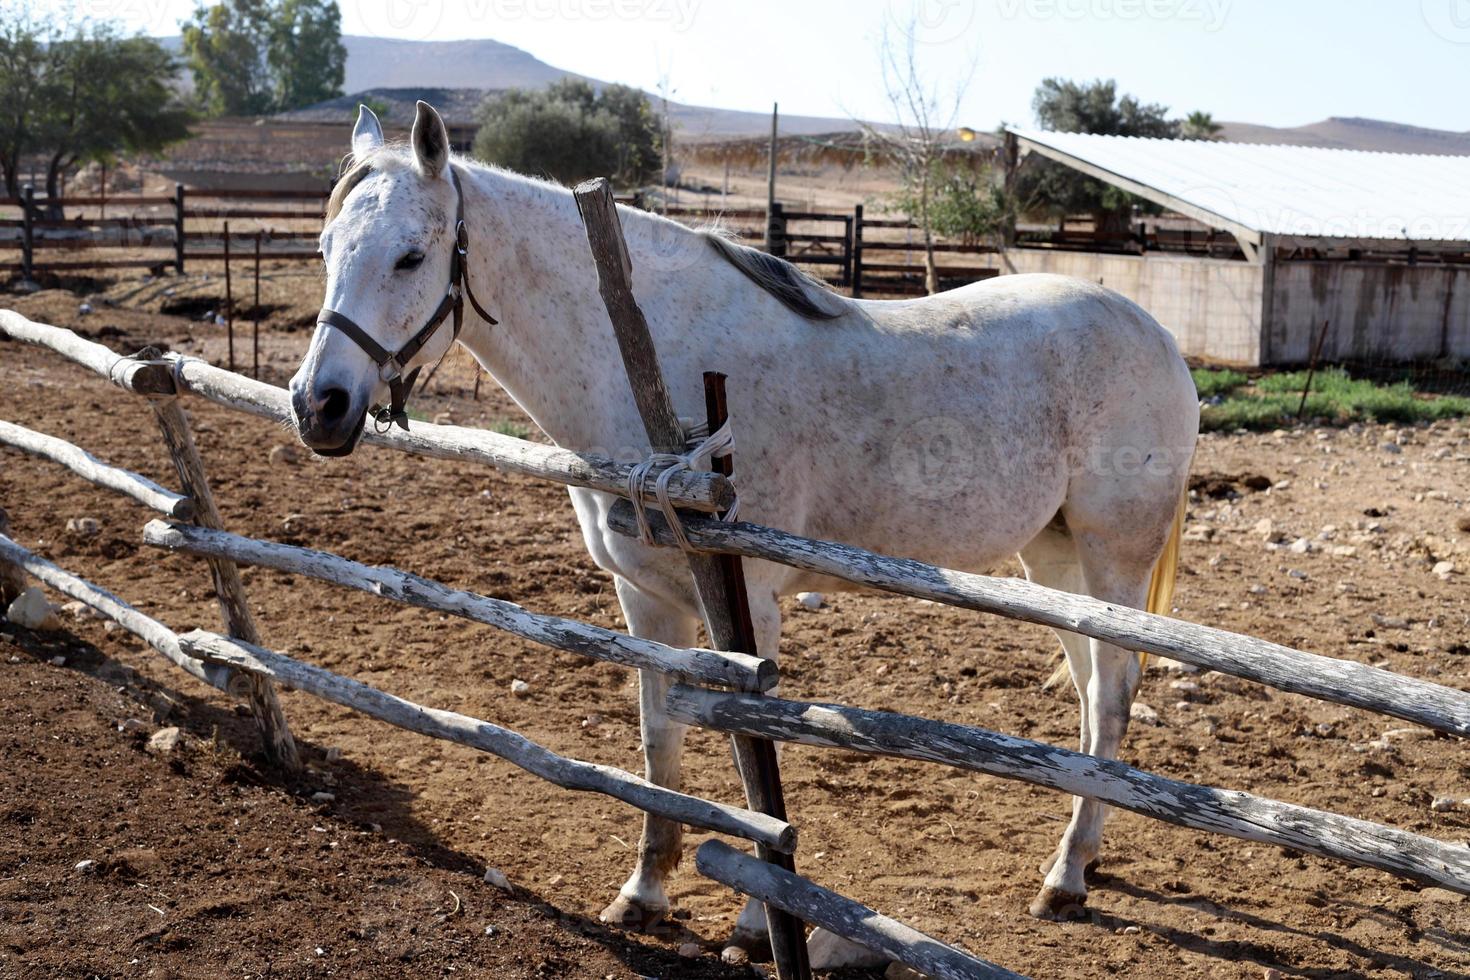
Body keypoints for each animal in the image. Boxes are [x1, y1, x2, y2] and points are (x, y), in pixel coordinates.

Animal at [292, 105, 1199, 957]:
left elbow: (748, 752)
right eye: (327, 248)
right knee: (1091, 695)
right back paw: (1080, 856)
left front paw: (761, 919)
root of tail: (1159, 336)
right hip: (1055, 563)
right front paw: (645, 892)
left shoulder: (747, 605)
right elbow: (660, 742)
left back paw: (1067, 876)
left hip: (1112, 561)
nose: (318, 405)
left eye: (412, 256)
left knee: (1113, 694)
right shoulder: (645, 601)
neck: (656, 369)